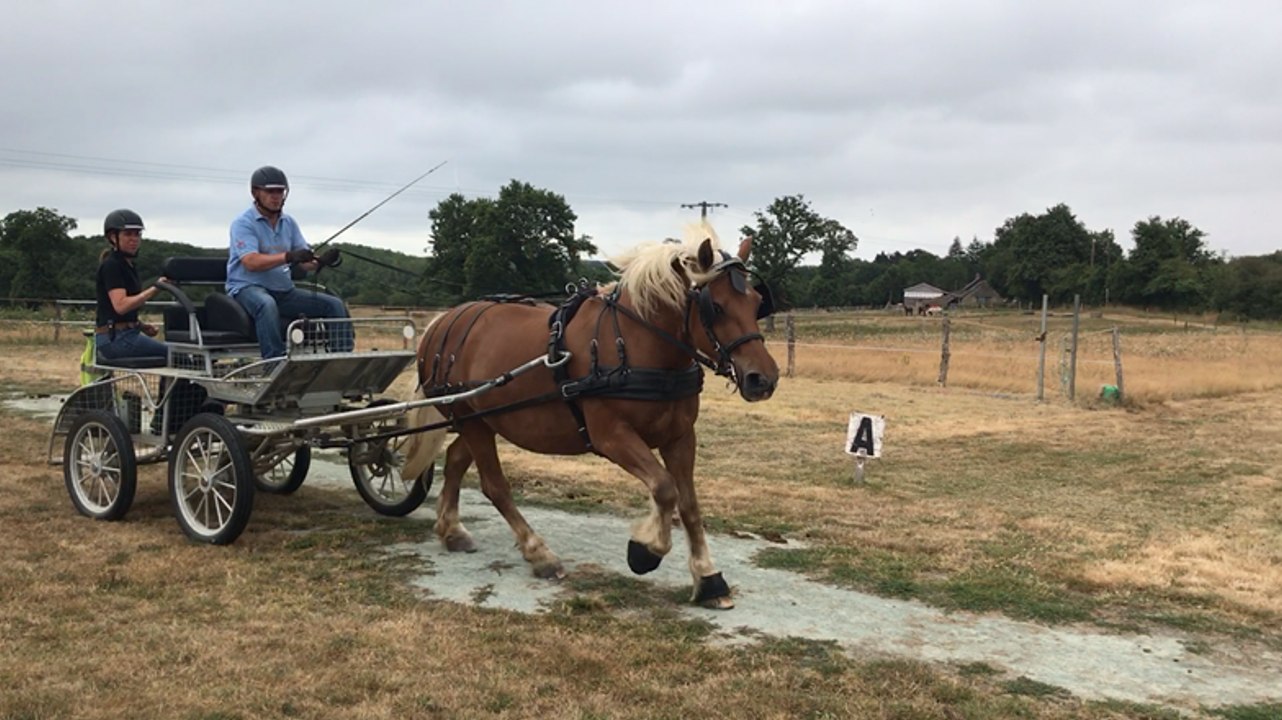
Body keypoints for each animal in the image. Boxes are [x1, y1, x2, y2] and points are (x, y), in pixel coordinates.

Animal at [399, 223, 779, 609]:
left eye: (756, 303)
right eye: (715, 306)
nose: (762, 379)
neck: (638, 343)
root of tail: (442, 322)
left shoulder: (680, 436)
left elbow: (688, 504)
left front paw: (707, 577)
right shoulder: (611, 435)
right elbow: (664, 488)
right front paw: (646, 550)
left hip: (483, 420)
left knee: (455, 459)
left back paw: (451, 530)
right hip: (473, 420)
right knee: (494, 485)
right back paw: (539, 553)